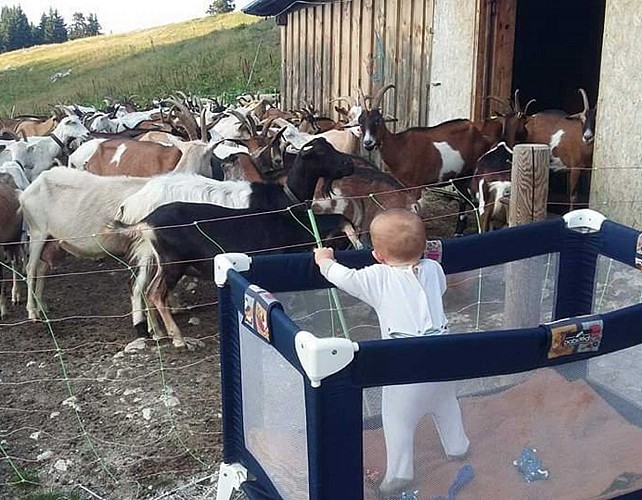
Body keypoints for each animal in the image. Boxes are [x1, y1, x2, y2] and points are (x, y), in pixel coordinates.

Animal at [358, 84, 488, 236]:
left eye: (377, 120)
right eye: (360, 122)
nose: (368, 143)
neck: (400, 146)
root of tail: (478, 133)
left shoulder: (416, 185)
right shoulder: (404, 185)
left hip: (472, 171)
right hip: (459, 175)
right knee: (464, 198)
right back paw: (458, 231)